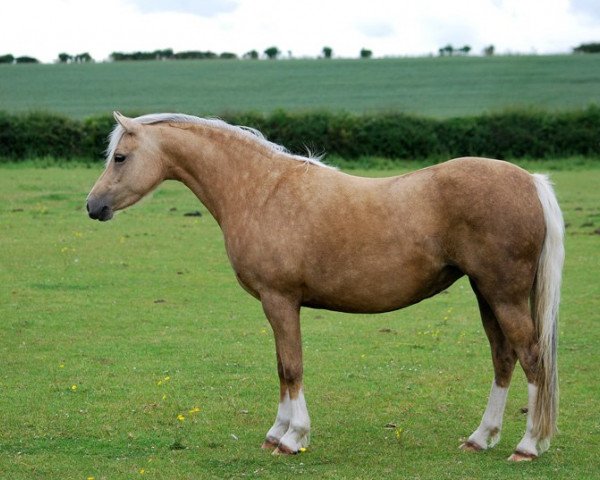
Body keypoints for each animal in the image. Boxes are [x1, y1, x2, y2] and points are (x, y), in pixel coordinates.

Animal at [86, 112, 564, 462]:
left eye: (120, 157)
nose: (93, 206)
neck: (262, 190)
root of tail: (530, 180)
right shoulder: (276, 306)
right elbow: (282, 368)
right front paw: (276, 432)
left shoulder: (280, 302)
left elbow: (292, 367)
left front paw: (292, 437)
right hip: (487, 293)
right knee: (503, 358)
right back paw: (480, 438)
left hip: (503, 295)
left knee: (530, 357)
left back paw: (527, 446)